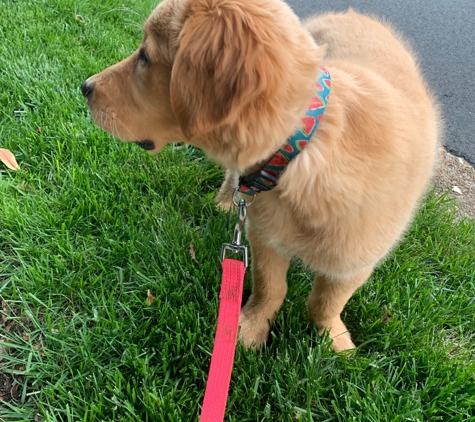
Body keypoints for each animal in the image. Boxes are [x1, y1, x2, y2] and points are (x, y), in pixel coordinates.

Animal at [81, 0, 438, 352]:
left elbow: (325, 304)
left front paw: (334, 341)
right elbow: (271, 287)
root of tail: (353, 14)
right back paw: (226, 200)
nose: (84, 87)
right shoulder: (265, 236)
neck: (302, 147)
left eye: (145, 57)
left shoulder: (355, 262)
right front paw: (250, 329)